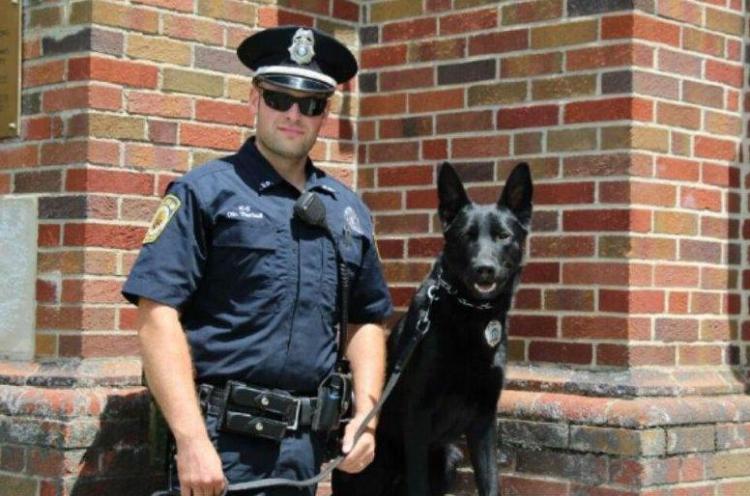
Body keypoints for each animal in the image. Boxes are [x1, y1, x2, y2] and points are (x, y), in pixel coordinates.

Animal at [334, 161, 536, 494]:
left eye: (503, 236)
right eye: (466, 236)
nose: (484, 269)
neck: (470, 314)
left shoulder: (484, 420)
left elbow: (491, 480)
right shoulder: (418, 417)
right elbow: (418, 483)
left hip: (449, 456)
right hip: (378, 460)